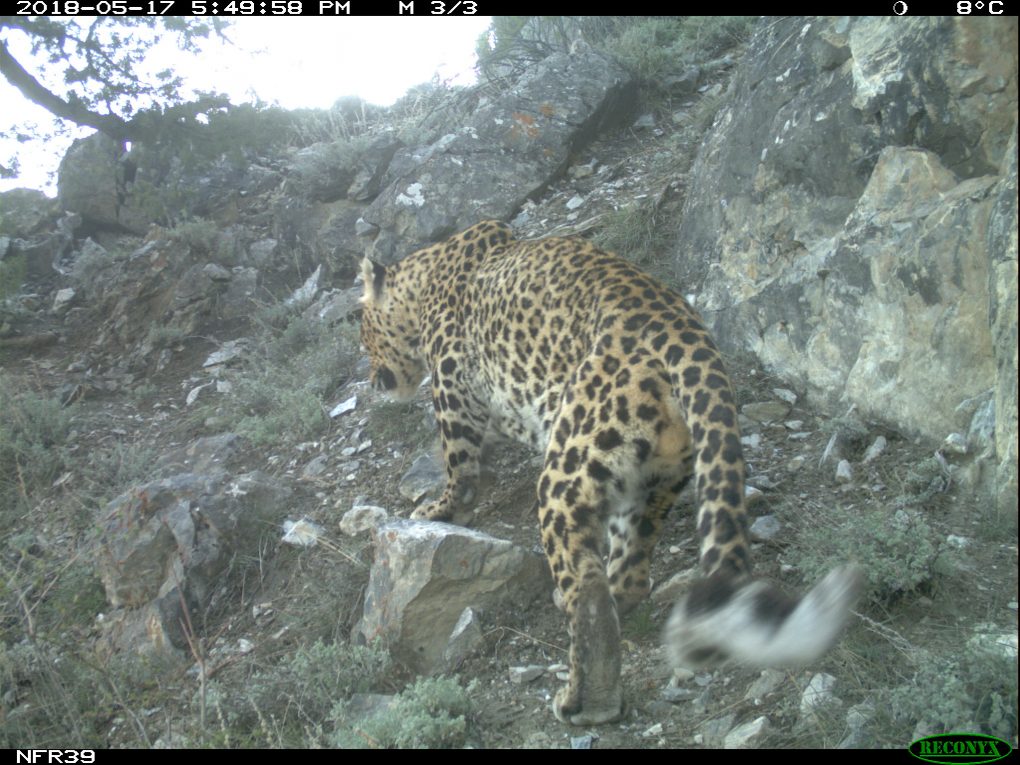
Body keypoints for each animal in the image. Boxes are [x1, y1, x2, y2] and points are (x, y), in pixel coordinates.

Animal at [359, 220, 862, 725]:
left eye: (363, 333)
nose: (372, 380)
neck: (425, 276)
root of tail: (689, 337)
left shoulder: (453, 394)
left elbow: (460, 472)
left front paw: (437, 508)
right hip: (652, 480)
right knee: (630, 572)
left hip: (568, 467)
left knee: (588, 586)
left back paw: (587, 699)